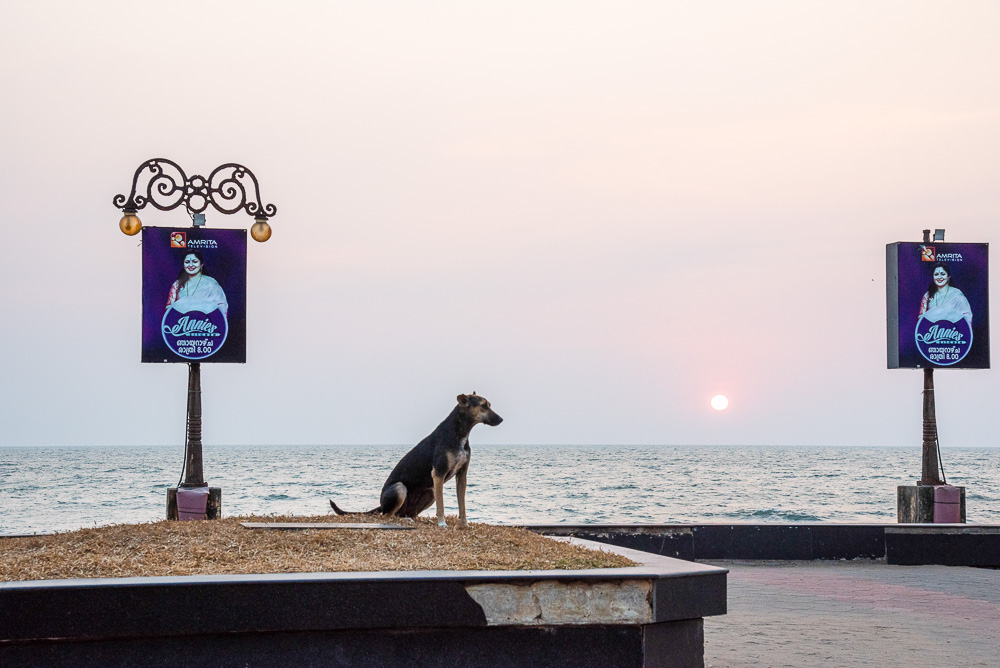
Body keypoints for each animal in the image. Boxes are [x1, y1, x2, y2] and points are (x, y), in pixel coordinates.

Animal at [330, 392, 504, 528]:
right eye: (483, 406)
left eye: (489, 405)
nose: (501, 419)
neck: (460, 432)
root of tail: (381, 504)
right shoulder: (438, 474)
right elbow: (441, 505)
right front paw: (442, 523)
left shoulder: (462, 475)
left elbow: (462, 504)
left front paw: (464, 524)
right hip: (400, 488)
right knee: (388, 516)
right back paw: (405, 521)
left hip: (430, 492)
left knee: (405, 514)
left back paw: (415, 519)